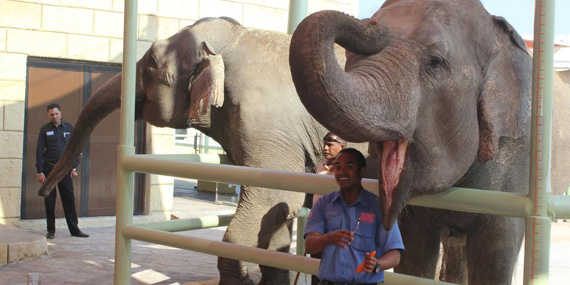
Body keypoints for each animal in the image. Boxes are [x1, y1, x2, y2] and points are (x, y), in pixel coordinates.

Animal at [40, 16, 372, 282]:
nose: (43, 189)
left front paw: (243, 281)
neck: (234, 40)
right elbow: (281, 209)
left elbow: (270, 196)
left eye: (151, 63)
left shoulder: (266, 124)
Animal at [288, 0, 568, 284]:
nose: (373, 23)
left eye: (436, 61)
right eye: (349, 57)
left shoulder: (518, 156)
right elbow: (414, 254)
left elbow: (495, 257)